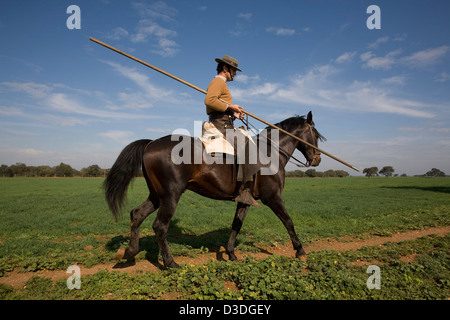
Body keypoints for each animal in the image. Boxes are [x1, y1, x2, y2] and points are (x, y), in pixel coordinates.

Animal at [104, 110, 326, 268]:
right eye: (315, 134)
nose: (317, 159)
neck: (269, 152)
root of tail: (151, 144)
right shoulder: (273, 197)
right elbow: (288, 221)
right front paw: (300, 250)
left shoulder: (245, 200)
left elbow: (236, 225)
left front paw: (231, 253)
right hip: (170, 196)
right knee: (159, 226)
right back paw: (170, 263)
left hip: (156, 196)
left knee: (137, 214)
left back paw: (129, 253)